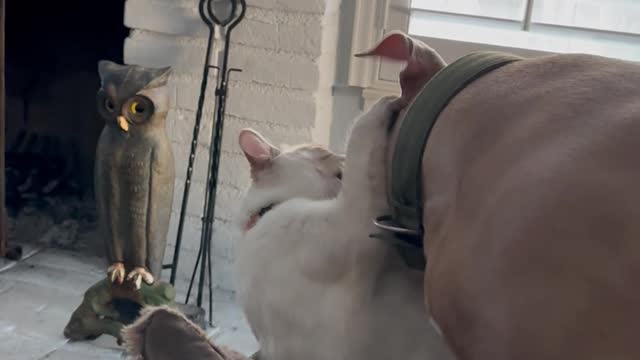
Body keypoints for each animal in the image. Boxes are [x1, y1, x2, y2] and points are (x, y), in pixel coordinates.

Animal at [234, 95, 450, 360]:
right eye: (321, 151)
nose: (336, 152)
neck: (267, 212)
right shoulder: (350, 222)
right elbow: (361, 136)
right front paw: (383, 105)